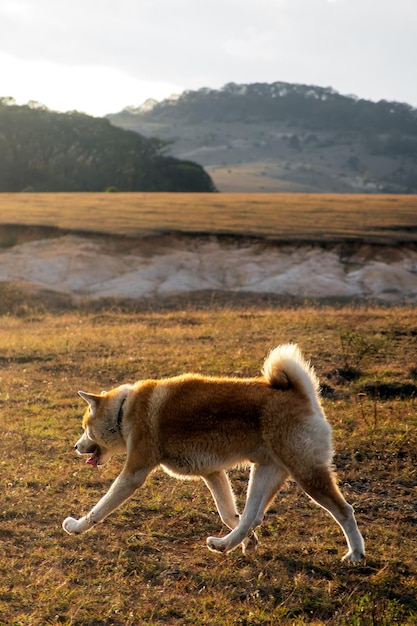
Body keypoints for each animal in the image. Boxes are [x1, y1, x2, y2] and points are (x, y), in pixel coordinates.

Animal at [62, 342, 364, 560]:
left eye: (85, 427)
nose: (76, 446)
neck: (125, 410)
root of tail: (302, 394)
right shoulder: (213, 474)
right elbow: (229, 514)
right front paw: (249, 542)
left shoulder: (134, 472)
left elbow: (101, 507)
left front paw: (77, 526)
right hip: (266, 470)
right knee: (251, 517)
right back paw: (225, 544)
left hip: (306, 473)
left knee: (344, 511)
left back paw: (355, 553)